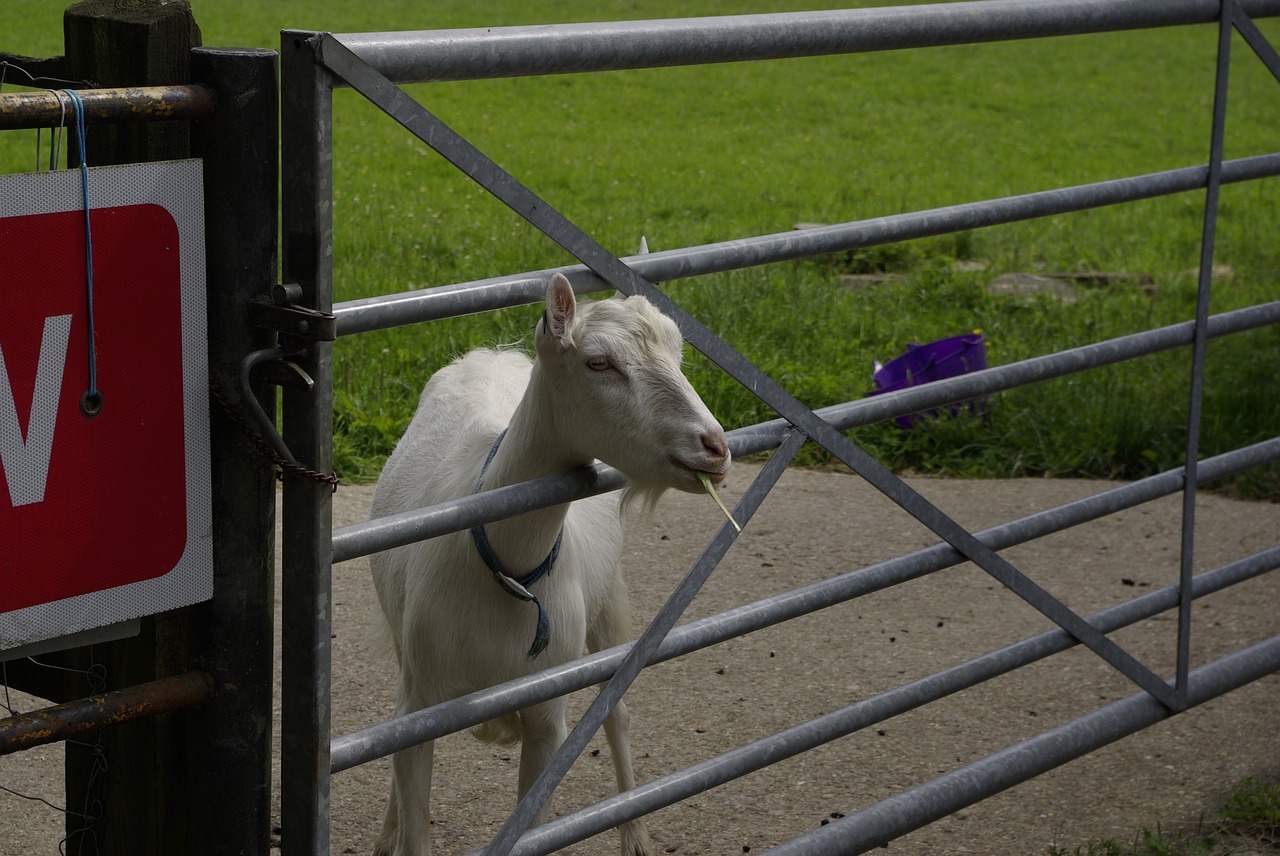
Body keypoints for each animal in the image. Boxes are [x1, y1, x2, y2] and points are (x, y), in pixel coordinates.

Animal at [371, 275, 732, 854]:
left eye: (678, 353)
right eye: (599, 363)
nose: (715, 447)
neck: (509, 571)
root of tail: (492, 353)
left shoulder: (547, 716)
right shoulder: (421, 698)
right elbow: (412, 806)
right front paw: (398, 830)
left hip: (608, 601)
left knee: (618, 713)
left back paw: (635, 836)